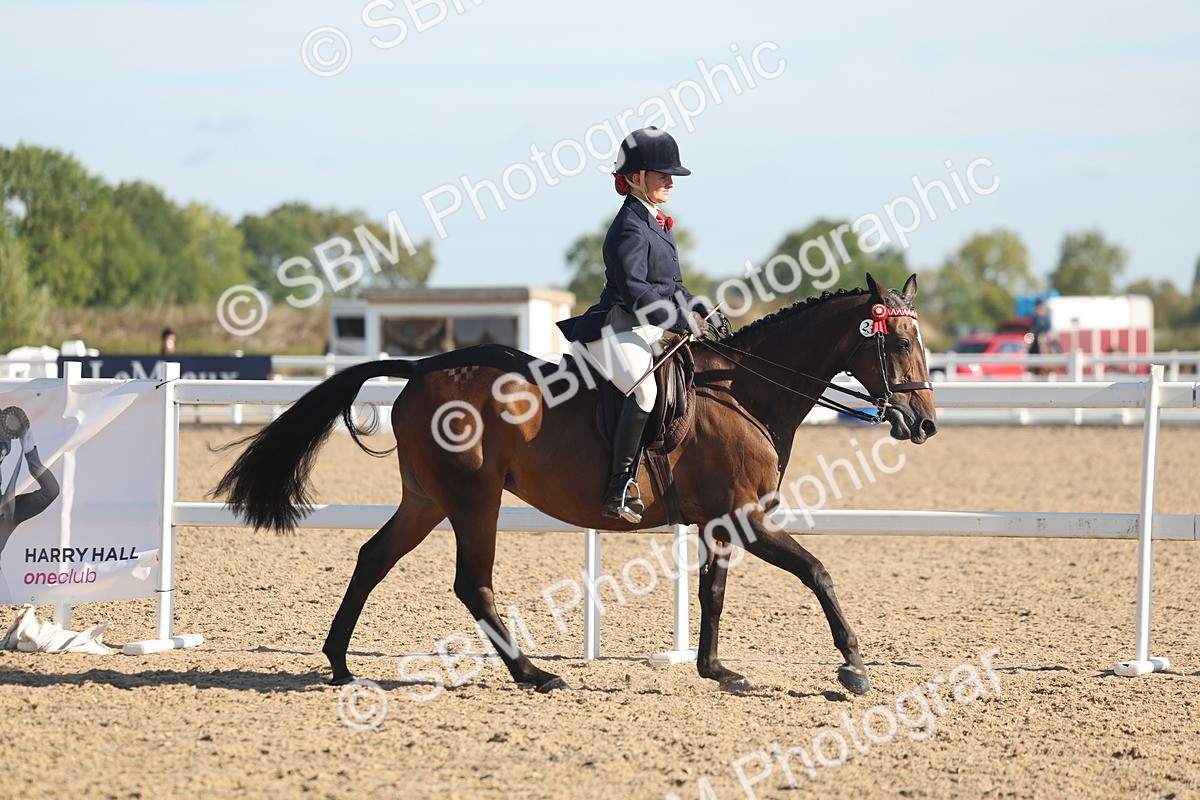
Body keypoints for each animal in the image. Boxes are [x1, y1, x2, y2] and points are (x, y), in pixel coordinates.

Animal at [215, 273, 938, 696]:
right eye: (897, 343)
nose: (924, 423)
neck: (742, 391)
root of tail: (423, 366)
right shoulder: (748, 517)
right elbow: (818, 572)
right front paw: (853, 667)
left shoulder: (723, 522)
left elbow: (713, 592)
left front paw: (715, 669)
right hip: (474, 498)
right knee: (471, 583)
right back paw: (534, 675)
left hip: (426, 498)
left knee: (372, 558)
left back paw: (340, 662)